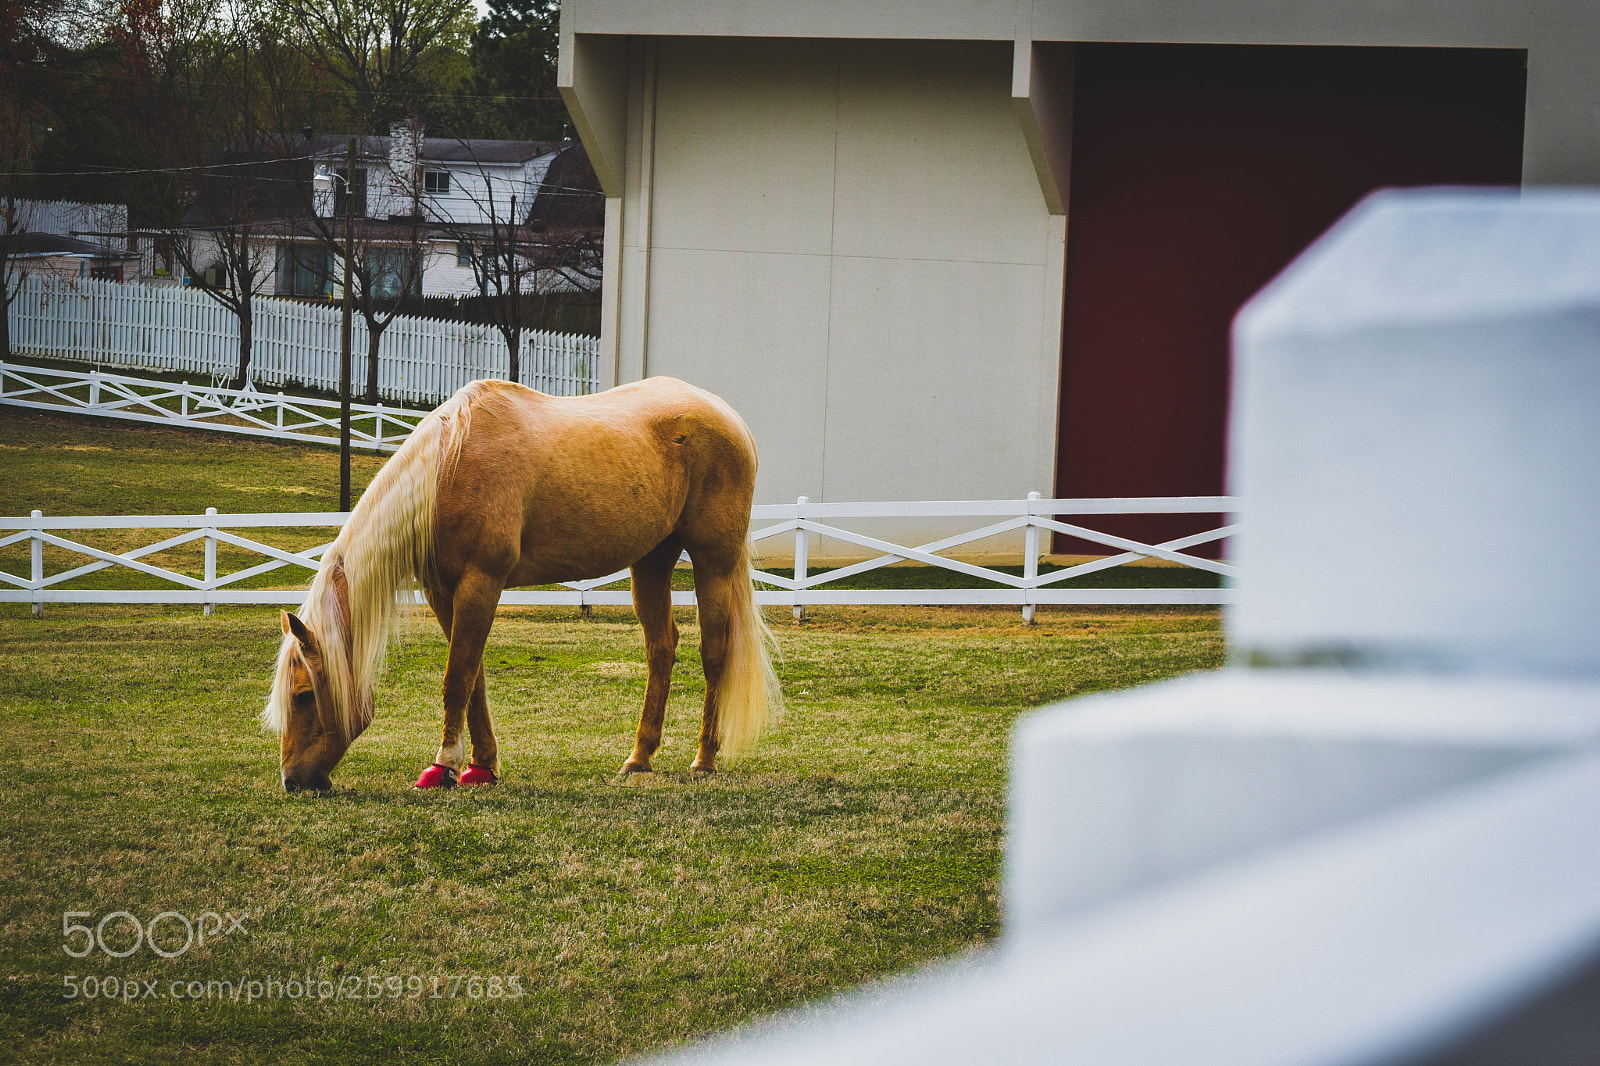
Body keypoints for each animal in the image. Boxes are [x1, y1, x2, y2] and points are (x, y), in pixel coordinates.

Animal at [262, 376, 781, 792]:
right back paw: (639, 759)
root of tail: (729, 418)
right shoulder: (444, 593)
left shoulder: (481, 583)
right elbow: (473, 679)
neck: (448, 470)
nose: (293, 781)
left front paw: (442, 767)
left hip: (714, 562)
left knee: (715, 654)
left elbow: (456, 678)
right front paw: (481, 766)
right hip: (651, 562)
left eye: (303, 695)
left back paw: (704, 759)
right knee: (662, 648)